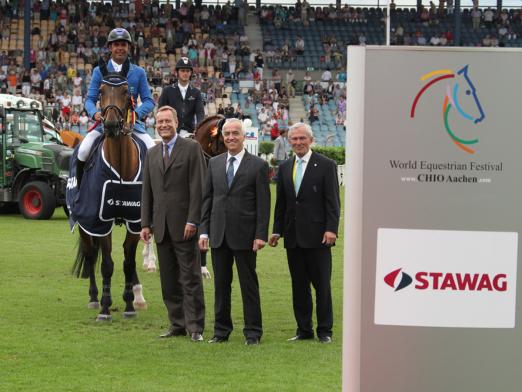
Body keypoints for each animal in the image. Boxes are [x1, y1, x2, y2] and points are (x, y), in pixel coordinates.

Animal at [72, 59, 145, 322]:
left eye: (125, 91)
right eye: (101, 91)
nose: (111, 125)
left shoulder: (135, 221)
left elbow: (128, 263)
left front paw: (130, 304)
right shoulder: (100, 220)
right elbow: (107, 264)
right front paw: (104, 308)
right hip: (84, 222)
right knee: (91, 254)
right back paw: (94, 298)